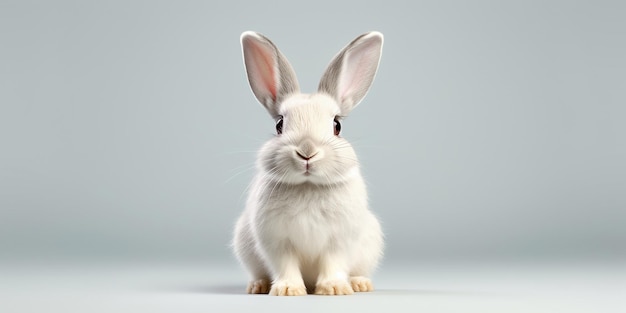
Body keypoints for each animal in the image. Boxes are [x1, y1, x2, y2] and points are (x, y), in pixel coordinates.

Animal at [232, 30, 382, 294]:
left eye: (337, 125)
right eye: (279, 124)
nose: (307, 151)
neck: (307, 186)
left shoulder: (338, 241)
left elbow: (333, 262)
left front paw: (334, 289)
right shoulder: (278, 242)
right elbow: (286, 265)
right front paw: (288, 290)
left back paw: (359, 284)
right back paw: (258, 286)